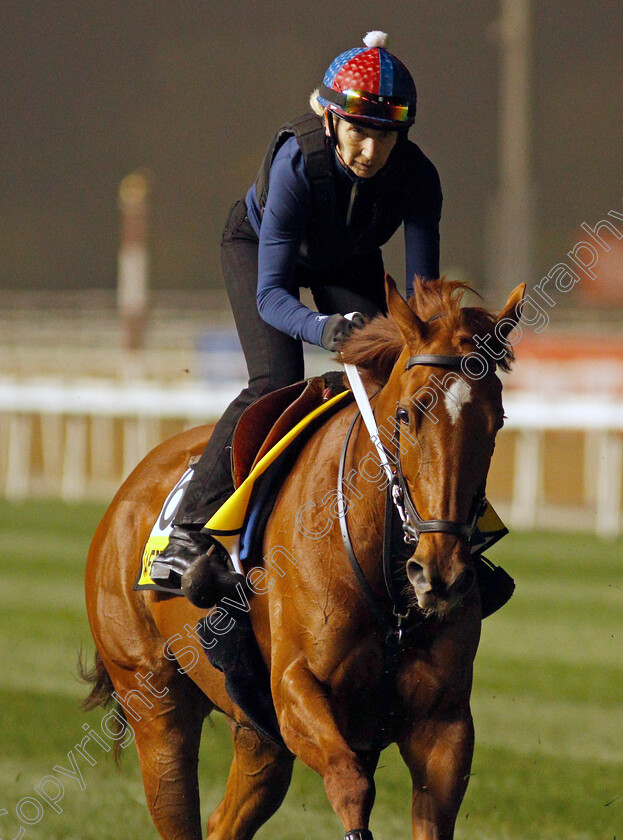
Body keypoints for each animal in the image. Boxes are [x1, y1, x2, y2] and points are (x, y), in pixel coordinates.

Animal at [80, 276, 524, 840]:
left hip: (255, 730)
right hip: (155, 702)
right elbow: (352, 785)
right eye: (406, 414)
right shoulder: (296, 690)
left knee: (225, 821)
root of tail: (126, 492)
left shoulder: (442, 724)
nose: (439, 574)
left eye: (497, 421)